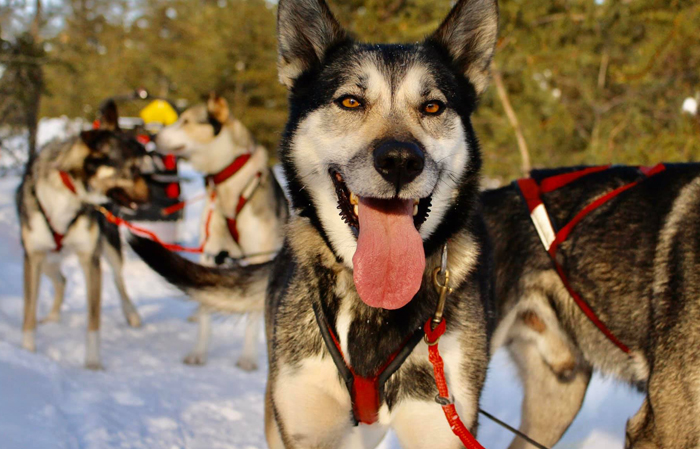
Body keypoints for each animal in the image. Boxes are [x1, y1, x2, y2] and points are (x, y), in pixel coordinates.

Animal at [17, 103, 150, 370]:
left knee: (119, 281)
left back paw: (131, 314)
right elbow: (29, 308)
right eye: (132, 169)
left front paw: (92, 362)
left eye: (141, 167)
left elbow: (94, 319)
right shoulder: (33, 256)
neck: (69, 193)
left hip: (109, 247)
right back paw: (52, 317)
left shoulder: (90, 260)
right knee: (61, 280)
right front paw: (28, 350)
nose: (150, 196)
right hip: (46, 261)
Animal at [156, 93, 288, 368]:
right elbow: (206, 309)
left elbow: (252, 316)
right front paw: (199, 352)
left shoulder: (259, 256)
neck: (229, 189)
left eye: (186, 121)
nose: (154, 137)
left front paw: (247, 358)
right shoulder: (210, 251)